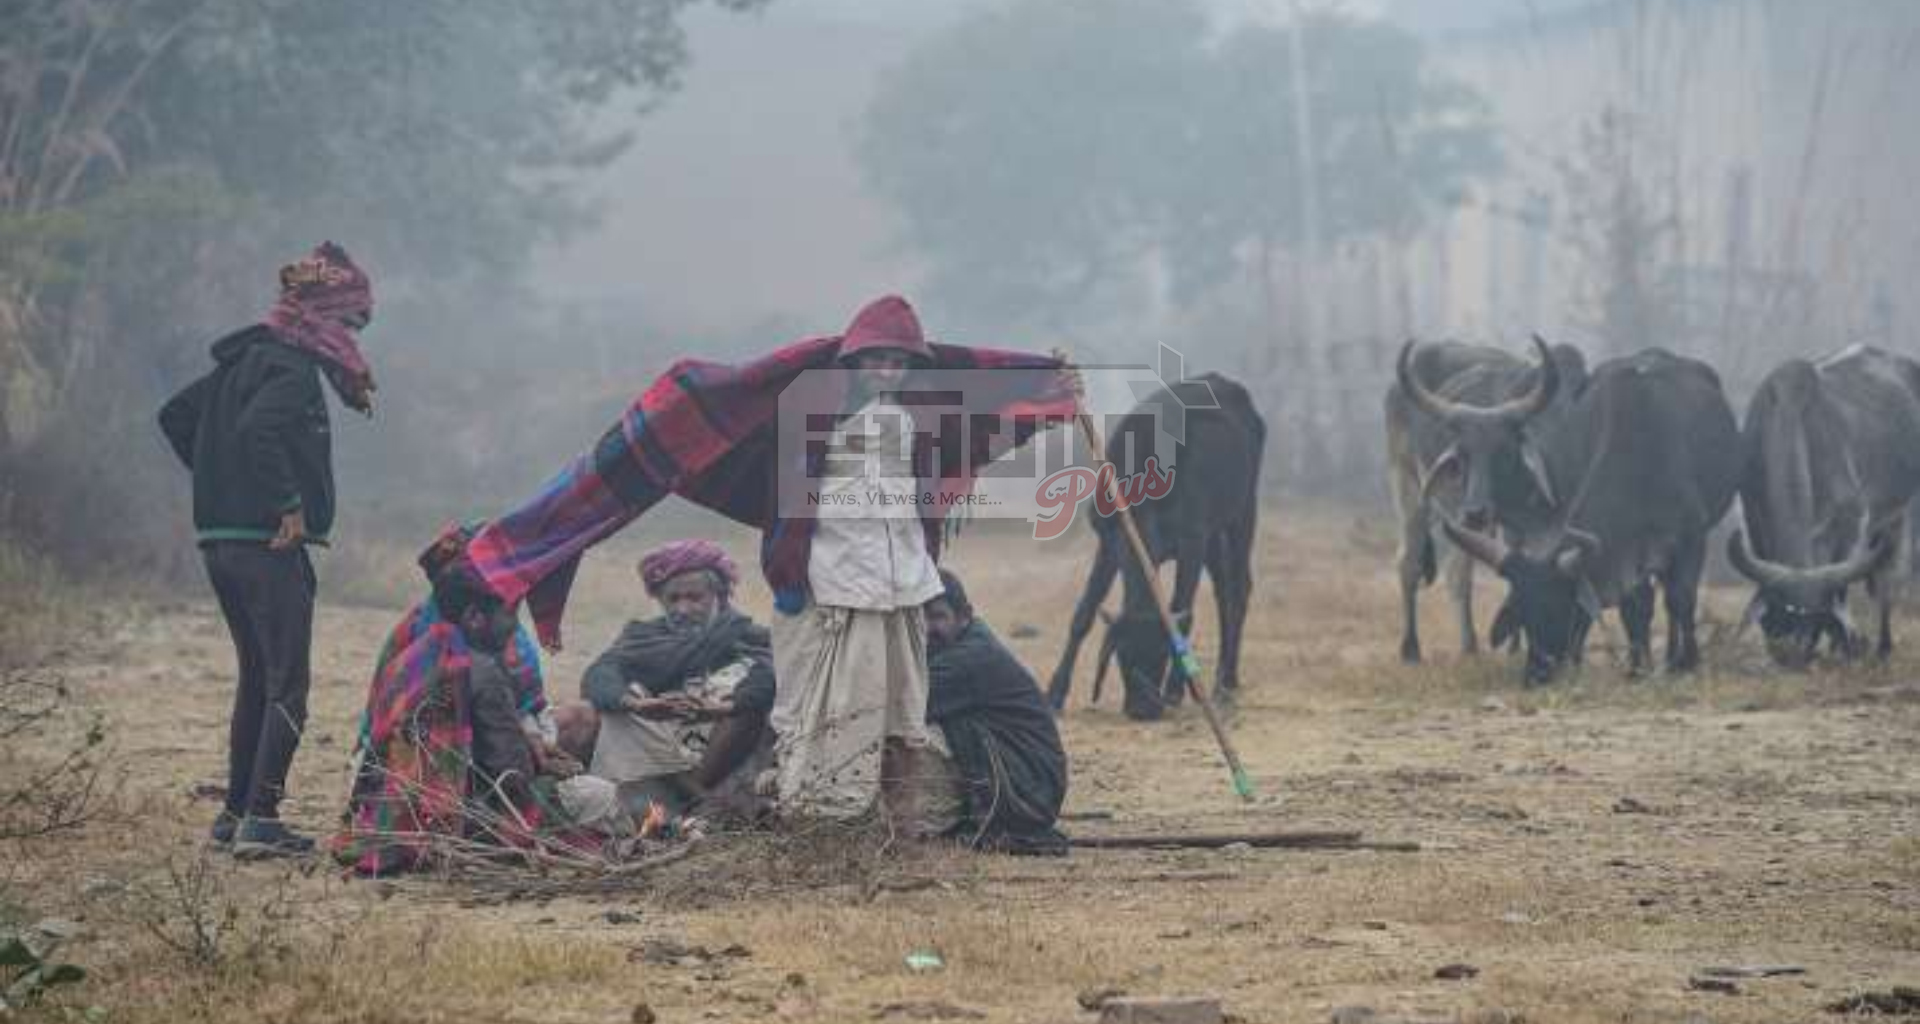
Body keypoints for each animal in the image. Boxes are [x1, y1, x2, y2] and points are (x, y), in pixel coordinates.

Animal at [1044, 368, 1267, 718]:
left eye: (1162, 654)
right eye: (1123, 656)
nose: (1144, 708)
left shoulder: (1191, 541)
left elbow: (1183, 614)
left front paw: (1175, 690)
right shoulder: (1109, 544)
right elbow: (1084, 613)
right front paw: (1055, 692)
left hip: (1242, 512)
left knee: (1239, 588)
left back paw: (1226, 681)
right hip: (1214, 535)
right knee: (1223, 593)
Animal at [1382, 336, 1589, 660]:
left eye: (1505, 453)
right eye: (1461, 456)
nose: (1475, 512)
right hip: (1409, 487)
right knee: (1418, 564)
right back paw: (1424, 648)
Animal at [1443, 347, 1743, 683]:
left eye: (1562, 608)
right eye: (1523, 614)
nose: (1536, 673)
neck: (1642, 463)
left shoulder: (1692, 539)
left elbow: (1681, 599)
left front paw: (1687, 662)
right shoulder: (1629, 554)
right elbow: (1636, 607)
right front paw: (1637, 667)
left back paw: (1673, 658)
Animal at [1728, 343, 1920, 660]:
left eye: (1815, 620)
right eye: (1774, 619)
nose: (1790, 654)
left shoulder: (1851, 521)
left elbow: (1841, 585)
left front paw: (1844, 647)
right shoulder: (1754, 514)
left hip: (1898, 517)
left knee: (1886, 582)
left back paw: (1883, 648)